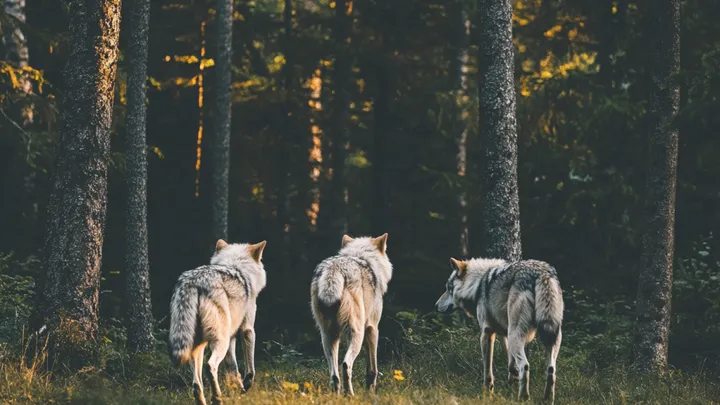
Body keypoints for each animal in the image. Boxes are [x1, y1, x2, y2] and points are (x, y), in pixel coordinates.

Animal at [168, 239, 267, 405]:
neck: (237, 267)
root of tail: (192, 282)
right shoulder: (247, 330)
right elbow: (250, 370)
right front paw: (245, 386)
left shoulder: (232, 336)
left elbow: (232, 368)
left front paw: (238, 389)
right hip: (220, 341)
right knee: (210, 367)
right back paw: (217, 398)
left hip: (198, 346)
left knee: (196, 385)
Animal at [310, 233, 393, 396]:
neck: (362, 256)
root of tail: (334, 269)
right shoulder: (372, 328)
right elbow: (372, 369)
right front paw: (370, 393)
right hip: (357, 334)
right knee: (345, 364)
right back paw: (350, 395)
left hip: (328, 337)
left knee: (334, 375)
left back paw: (337, 396)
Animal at [435, 257, 564, 404]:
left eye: (448, 289)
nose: (436, 305)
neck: (477, 284)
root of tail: (540, 274)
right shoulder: (505, 333)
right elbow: (510, 361)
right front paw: (512, 378)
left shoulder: (487, 333)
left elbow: (488, 371)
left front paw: (487, 393)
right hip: (551, 336)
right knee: (551, 369)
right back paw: (547, 399)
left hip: (516, 336)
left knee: (525, 366)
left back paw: (523, 398)